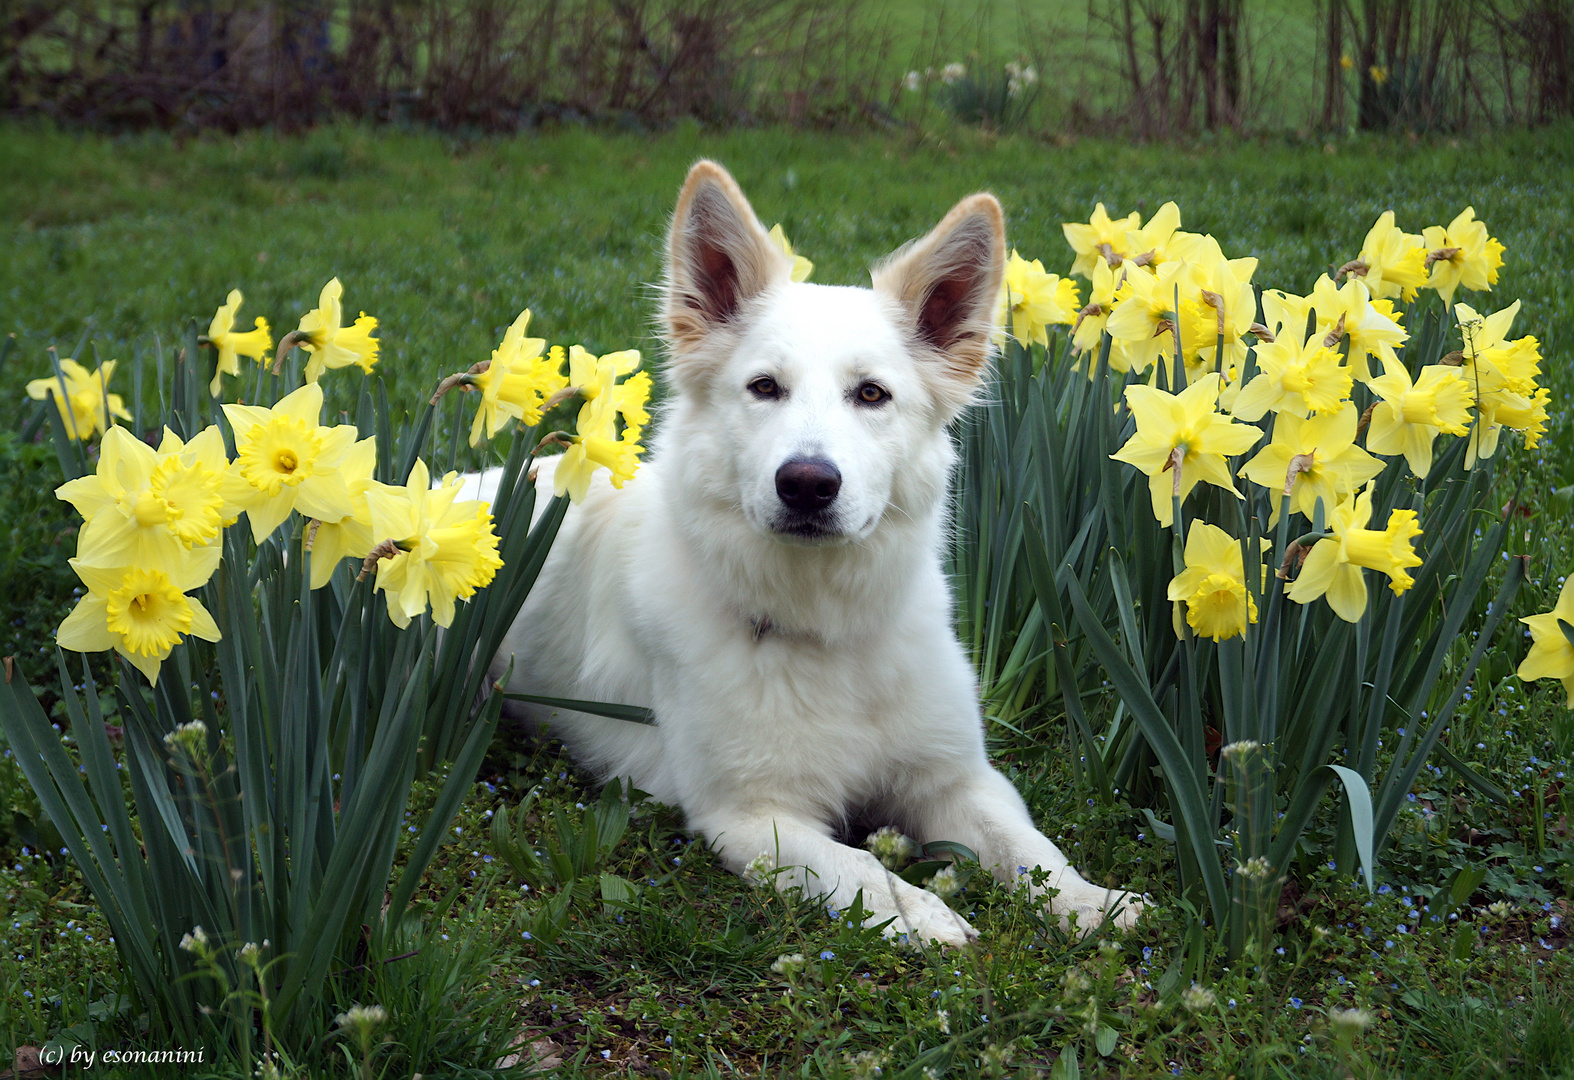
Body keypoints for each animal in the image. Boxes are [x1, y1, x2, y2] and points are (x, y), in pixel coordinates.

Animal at [481, 160, 1145, 944]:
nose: (806, 483)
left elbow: (1032, 849)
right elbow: (862, 868)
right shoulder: (751, 815)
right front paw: (925, 916)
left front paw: (1092, 903)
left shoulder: (957, 778)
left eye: (872, 394)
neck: (829, 628)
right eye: (765, 387)